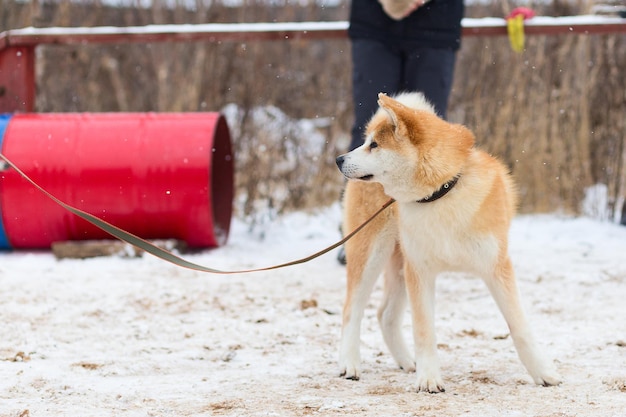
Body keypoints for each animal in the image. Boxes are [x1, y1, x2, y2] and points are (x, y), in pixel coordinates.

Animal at [336, 92, 560, 392]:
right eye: (366, 142)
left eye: (374, 145)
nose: (338, 159)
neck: (441, 194)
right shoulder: (420, 272)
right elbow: (424, 330)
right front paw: (429, 378)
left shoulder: (496, 268)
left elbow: (520, 327)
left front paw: (543, 372)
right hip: (370, 253)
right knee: (352, 310)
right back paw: (350, 364)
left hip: (399, 266)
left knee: (386, 315)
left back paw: (407, 361)